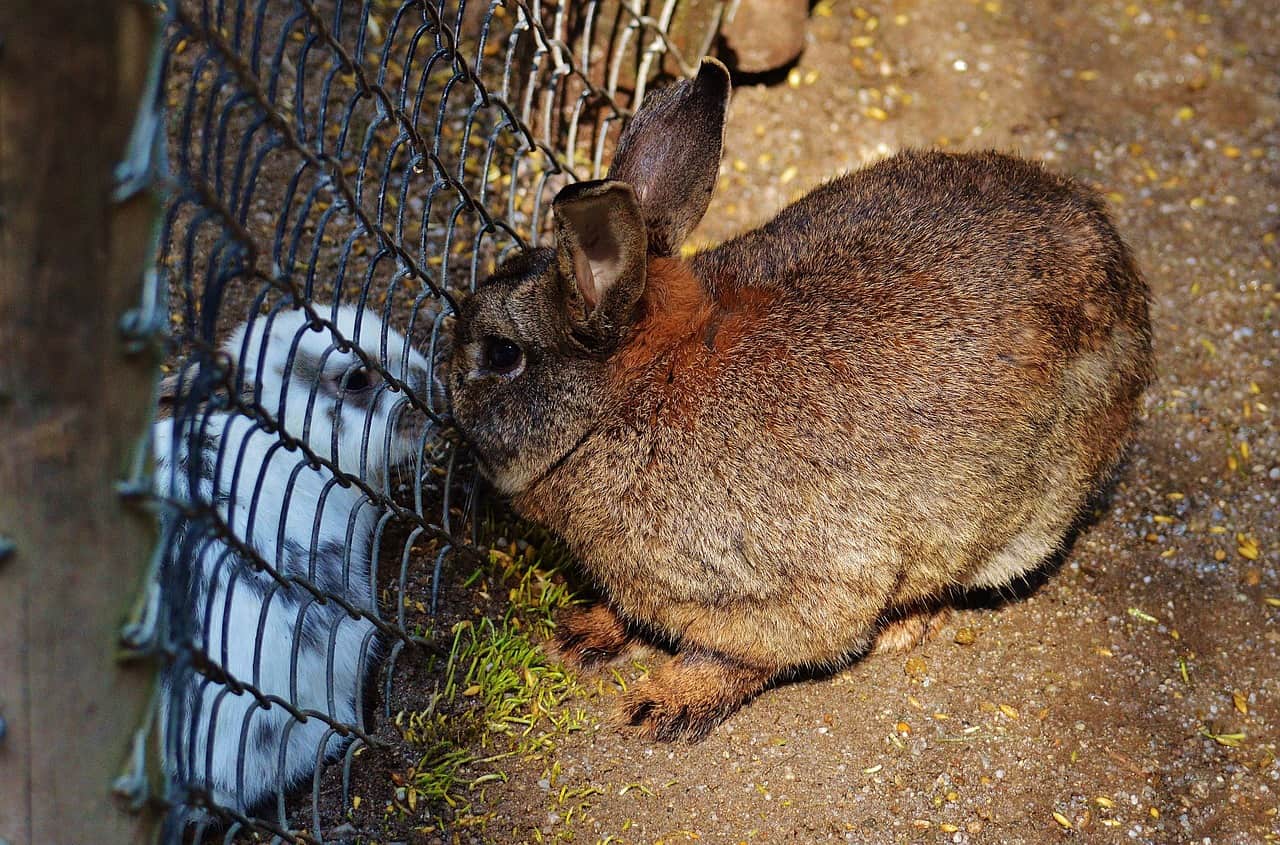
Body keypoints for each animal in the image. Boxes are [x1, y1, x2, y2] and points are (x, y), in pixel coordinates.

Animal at [440, 57, 1152, 737]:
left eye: (501, 354)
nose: (447, 394)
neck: (633, 391)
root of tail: (1127, 280)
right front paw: (583, 633)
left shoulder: (795, 589)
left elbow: (744, 656)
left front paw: (663, 704)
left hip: (1023, 514)